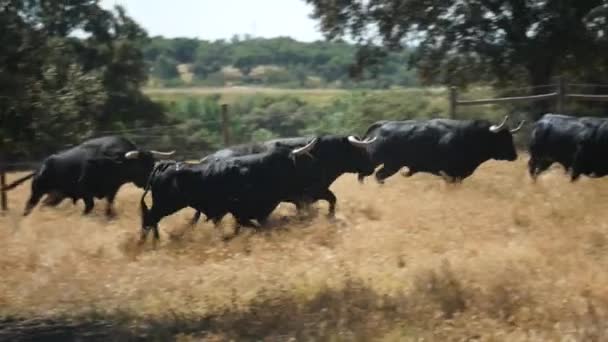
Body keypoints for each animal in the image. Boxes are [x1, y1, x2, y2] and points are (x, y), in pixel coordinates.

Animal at [2, 136, 173, 216]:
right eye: (140, 165)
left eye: (152, 163)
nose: (151, 182)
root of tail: (41, 167)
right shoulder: (85, 192)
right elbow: (89, 207)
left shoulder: (112, 191)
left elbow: (109, 208)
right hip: (37, 192)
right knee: (29, 207)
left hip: (56, 195)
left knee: (45, 205)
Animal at [141, 134, 376, 240]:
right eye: (355, 150)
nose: (371, 166)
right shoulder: (304, 196)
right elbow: (328, 202)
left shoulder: (310, 195)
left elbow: (330, 200)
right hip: (166, 205)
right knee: (150, 219)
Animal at [358, 116, 524, 183]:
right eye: (502, 138)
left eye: (510, 137)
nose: (514, 155)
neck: (467, 137)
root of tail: (383, 124)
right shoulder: (450, 174)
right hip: (381, 162)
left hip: (391, 166)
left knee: (378, 176)